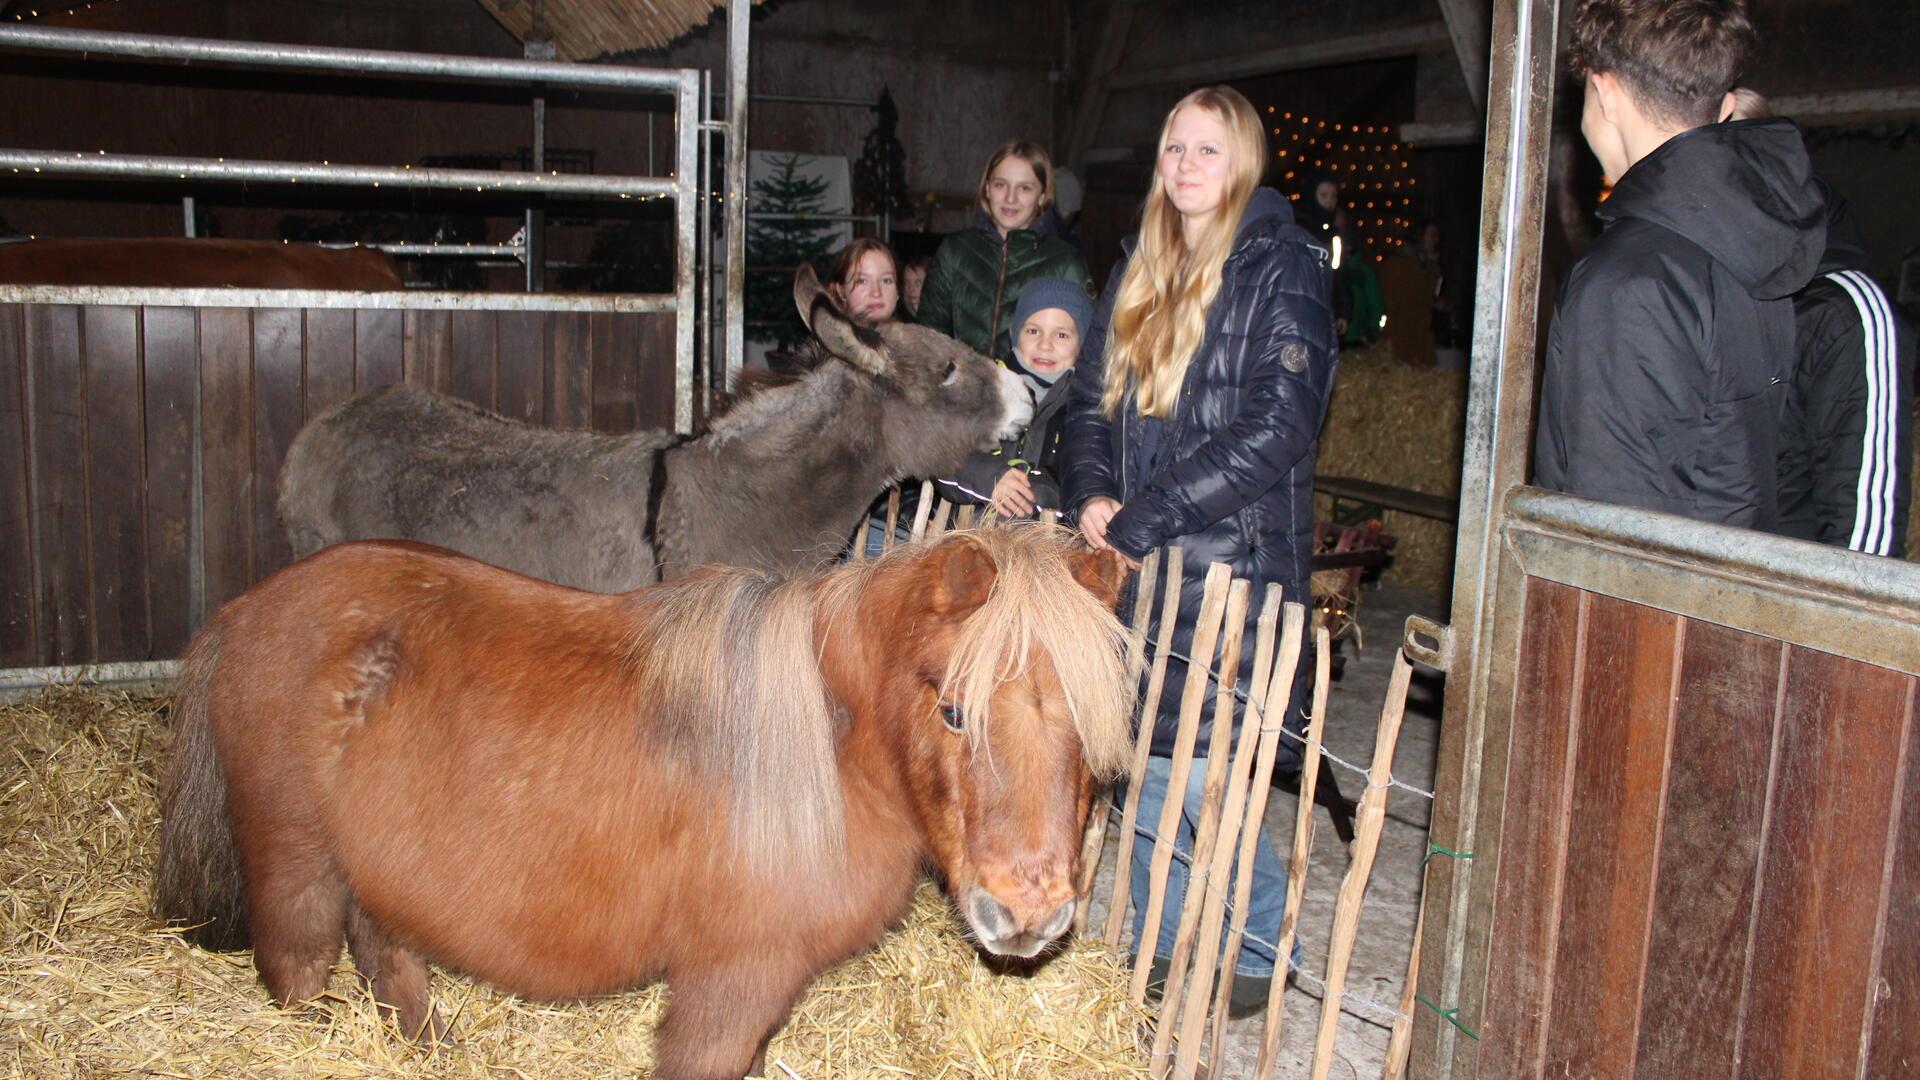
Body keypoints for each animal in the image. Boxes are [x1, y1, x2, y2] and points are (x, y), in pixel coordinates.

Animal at [157, 522, 1136, 1076]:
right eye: (953, 710)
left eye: (1094, 724)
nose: (1029, 915)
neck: (829, 751)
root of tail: (238, 617)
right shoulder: (731, 980)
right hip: (296, 869)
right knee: (299, 974)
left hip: (373, 873)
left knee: (389, 960)